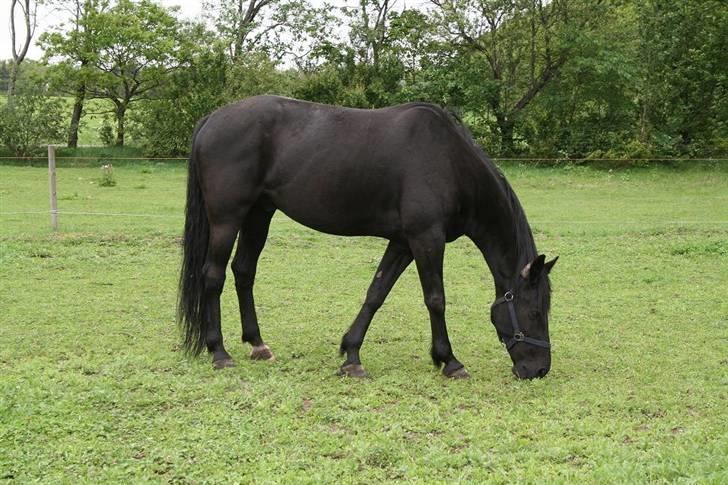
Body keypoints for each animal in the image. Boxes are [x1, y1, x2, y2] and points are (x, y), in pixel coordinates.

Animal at [176, 94, 556, 378]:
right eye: (536, 312)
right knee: (213, 276)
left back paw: (257, 344)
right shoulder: (426, 239)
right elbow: (435, 299)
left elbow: (376, 293)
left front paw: (351, 354)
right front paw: (449, 360)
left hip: (259, 214)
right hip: (227, 218)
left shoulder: (404, 243)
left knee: (244, 272)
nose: (539, 370)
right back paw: (219, 352)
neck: (450, 162)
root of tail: (212, 119)